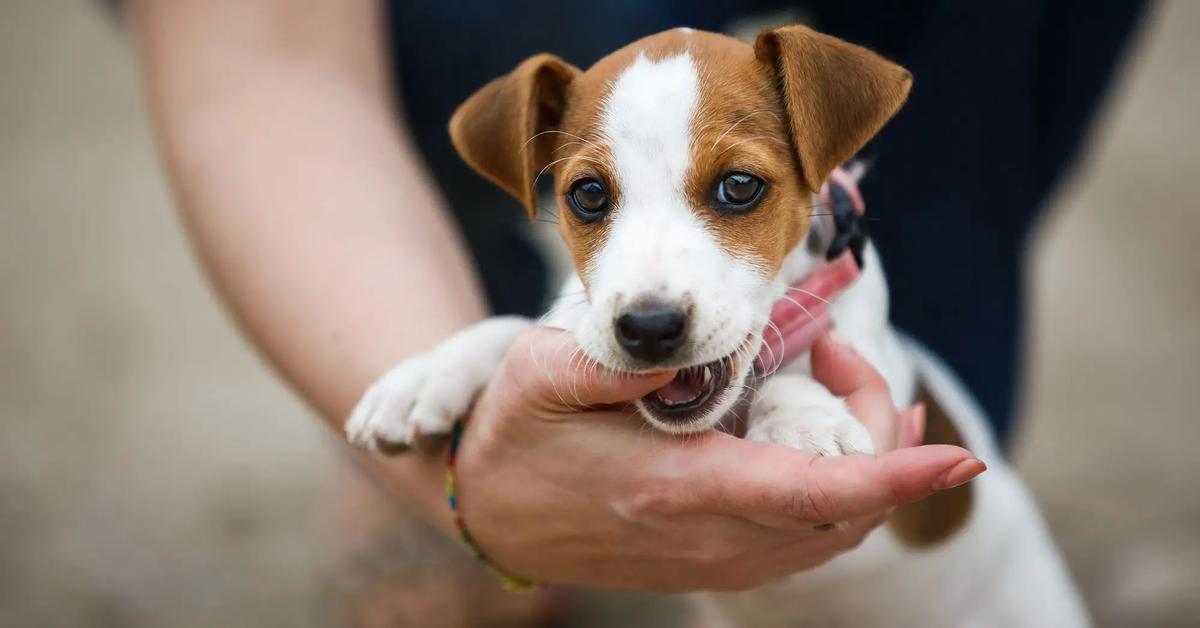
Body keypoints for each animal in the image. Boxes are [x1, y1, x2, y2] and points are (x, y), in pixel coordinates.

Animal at [345, 24, 1089, 628]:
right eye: (588, 195)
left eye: (738, 186)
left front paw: (806, 426)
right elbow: (516, 328)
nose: (648, 327)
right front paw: (425, 376)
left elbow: (801, 369)